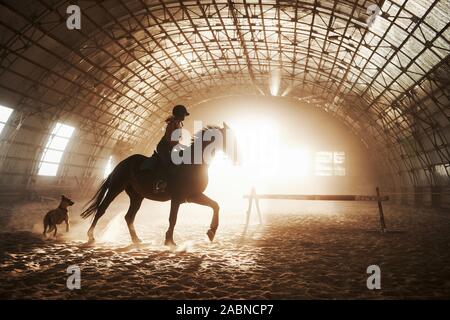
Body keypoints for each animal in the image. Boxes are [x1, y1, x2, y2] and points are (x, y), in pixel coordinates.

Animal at [81, 124, 236, 246]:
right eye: (229, 139)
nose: (237, 157)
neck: (192, 164)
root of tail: (122, 163)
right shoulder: (177, 198)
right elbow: (173, 219)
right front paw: (169, 241)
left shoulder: (193, 196)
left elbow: (215, 205)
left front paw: (211, 232)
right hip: (115, 188)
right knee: (102, 210)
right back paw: (91, 237)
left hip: (137, 196)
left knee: (129, 217)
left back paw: (136, 240)